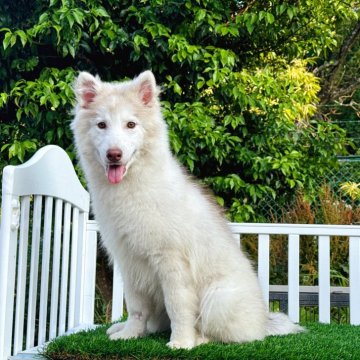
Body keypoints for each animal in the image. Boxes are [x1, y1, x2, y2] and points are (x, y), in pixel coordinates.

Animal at [71, 70, 302, 348]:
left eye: (131, 125)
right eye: (101, 125)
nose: (114, 154)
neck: (133, 188)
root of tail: (263, 323)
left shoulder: (172, 261)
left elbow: (178, 307)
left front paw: (181, 342)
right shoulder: (130, 264)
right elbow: (136, 309)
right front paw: (129, 335)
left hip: (217, 298)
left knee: (222, 334)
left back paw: (199, 339)